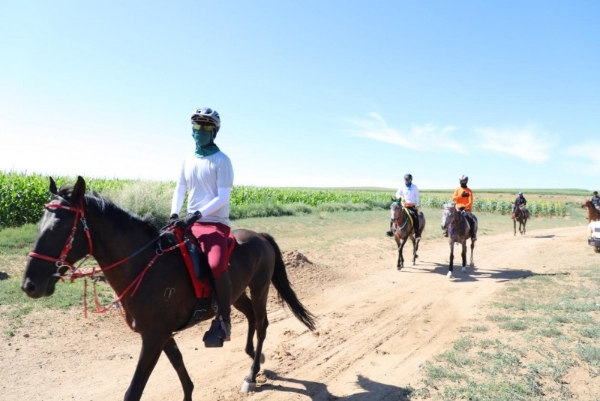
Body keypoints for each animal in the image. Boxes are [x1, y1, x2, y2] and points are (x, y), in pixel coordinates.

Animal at [21, 177, 316, 400]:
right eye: (40, 224)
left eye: (59, 227)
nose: (29, 285)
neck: (145, 265)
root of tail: (260, 236)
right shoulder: (161, 335)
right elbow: (183, 375)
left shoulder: (154, 337)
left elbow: (134, 391)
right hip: (237, 295)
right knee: (252, 318)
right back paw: (255, 356)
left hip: (259, 288)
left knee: (263, 323)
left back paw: (251, 375)